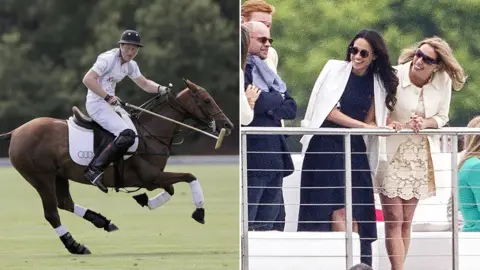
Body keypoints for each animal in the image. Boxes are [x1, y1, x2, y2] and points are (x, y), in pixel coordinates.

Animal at [0, 79, 234, 254]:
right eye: (207, 100)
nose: (228, 125)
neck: (150, 132)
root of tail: (16, 131)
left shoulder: (152, 178)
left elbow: (171, 189)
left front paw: (144, 200)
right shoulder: (150, 177)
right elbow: (190, 176)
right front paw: (199, 212)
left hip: (59, 175)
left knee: (65, 203)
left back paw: (102, 221)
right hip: (41, 177)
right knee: (51, 213)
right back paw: (75, 246)